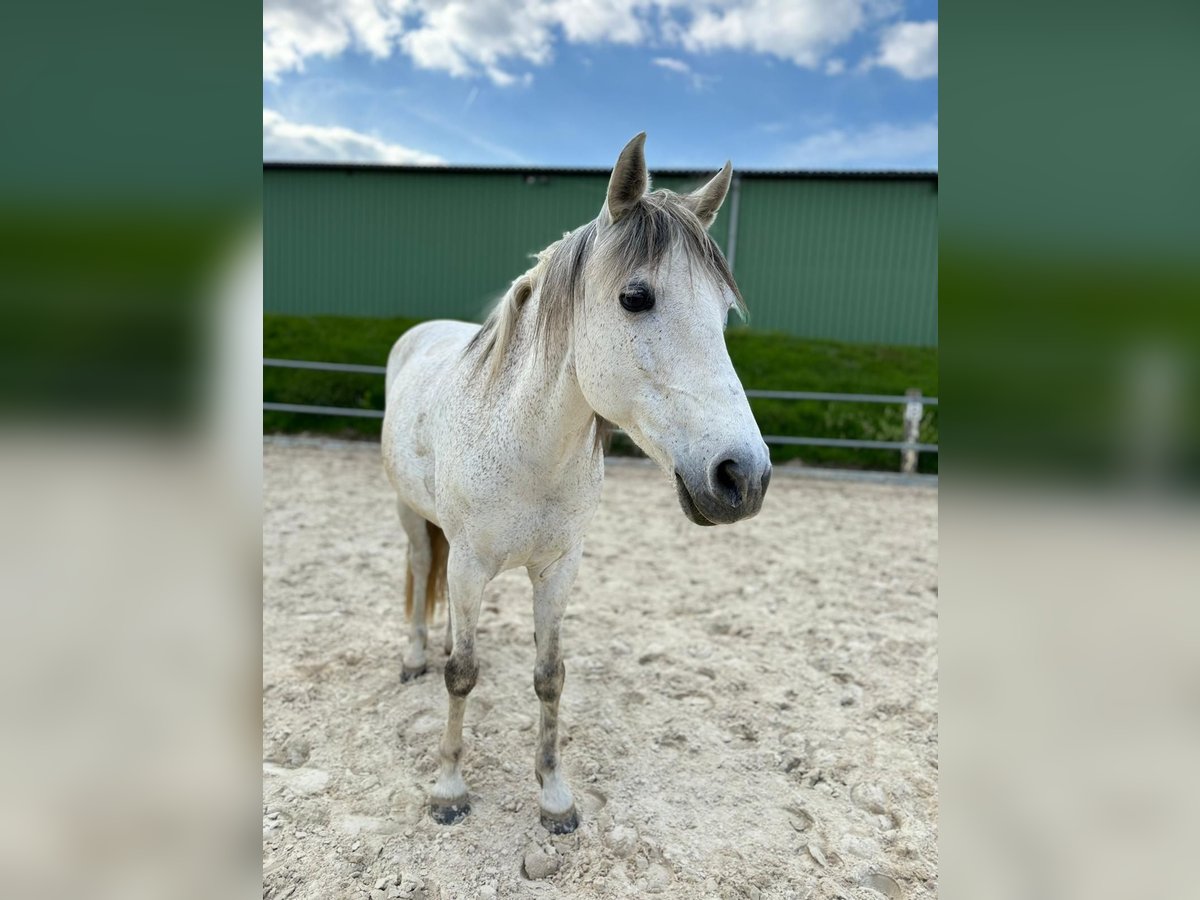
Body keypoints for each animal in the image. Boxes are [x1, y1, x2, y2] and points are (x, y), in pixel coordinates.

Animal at [388, 133, 772, 840]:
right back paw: (413, 657)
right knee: (421, 570)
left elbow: (550, 676)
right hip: (410, 515)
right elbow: (461, 674)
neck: (524, 448)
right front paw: (449, 789)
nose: (744, 476)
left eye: (723, 313)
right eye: (636, 297)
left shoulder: (559, 568)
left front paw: (554, 797)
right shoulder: (468, 566)